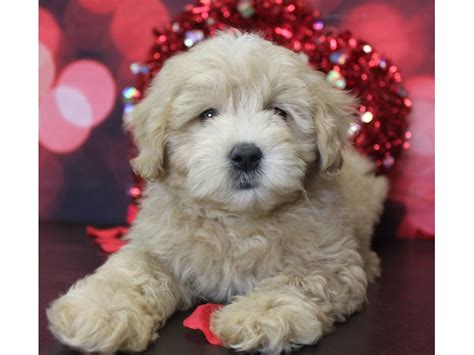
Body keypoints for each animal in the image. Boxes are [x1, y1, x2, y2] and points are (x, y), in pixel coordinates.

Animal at [47, 32, 388, 354]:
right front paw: (100, 311)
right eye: (207, 115)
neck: (238, 219)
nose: (246, 155)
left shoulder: (330, 263)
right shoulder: (155, 245)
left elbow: (300, 280)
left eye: (279, 112)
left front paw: (260, 314)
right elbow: (132, 273)